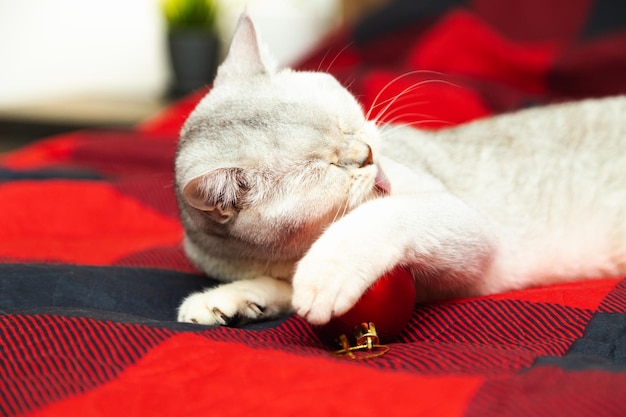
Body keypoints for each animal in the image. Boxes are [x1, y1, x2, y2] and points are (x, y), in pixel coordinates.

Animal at [173, 14, 624, 326]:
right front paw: (230, 299)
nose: (367, 152)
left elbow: (386, 217)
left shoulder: (468, 233)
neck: (289, 253)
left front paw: (326, 270)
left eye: (346, 121)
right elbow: (281, 287)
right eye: (328, 166)